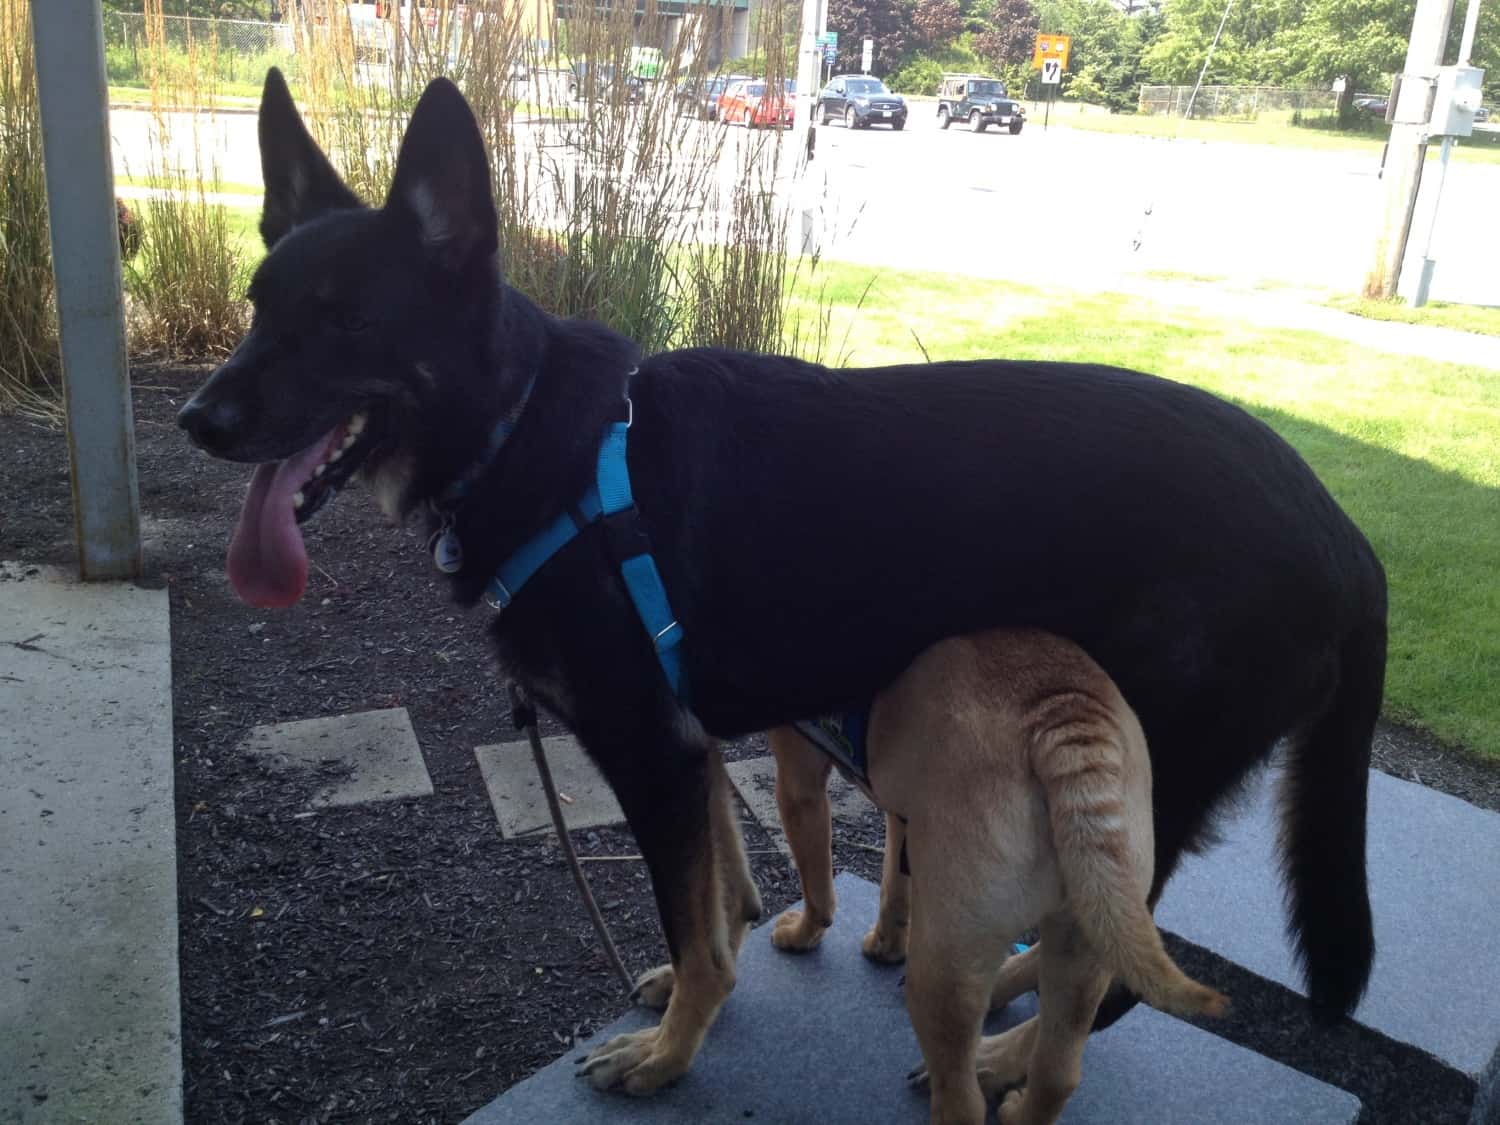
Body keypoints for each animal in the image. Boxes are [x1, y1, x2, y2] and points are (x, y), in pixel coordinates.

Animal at [768, 630, 1224, 1125]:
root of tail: (1065, 720)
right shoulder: (904, 817)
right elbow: (894, 883)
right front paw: (884, 945)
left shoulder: (799, 784)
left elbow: (817, 881)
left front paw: (800, 934)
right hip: (1086, 941)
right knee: (1057, 1073)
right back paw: (1020, 1109)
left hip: (947, 968)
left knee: (962, 1097)